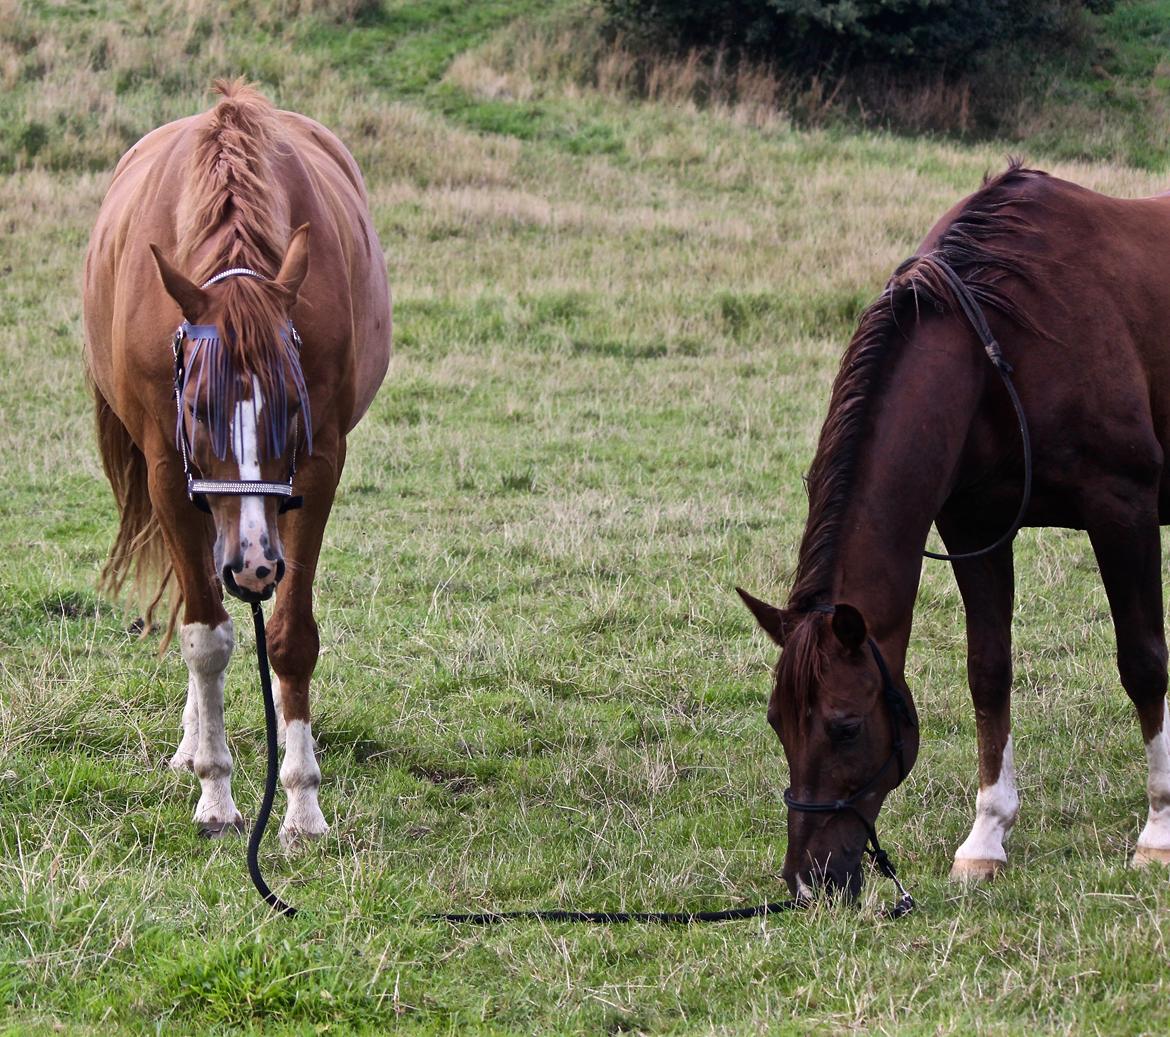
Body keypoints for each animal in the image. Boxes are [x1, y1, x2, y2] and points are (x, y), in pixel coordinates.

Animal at [84, 79, 393, 842]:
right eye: (197, 408)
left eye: (290, 405)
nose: (253, 564)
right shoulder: (170, 468)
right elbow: (205, 637)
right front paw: (216, 792)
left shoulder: (318, 465)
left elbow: (289, 637)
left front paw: (303, 802)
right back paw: (195, 744)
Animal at [739, 162, 1170, 903]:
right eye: (776, 722)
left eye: (845, 726)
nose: (807, 881)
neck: (1000, 342)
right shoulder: (976, 526)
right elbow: (988, 672)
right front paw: (986, 839)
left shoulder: (1125, 507)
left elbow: (1143, 663)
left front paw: (1158, 833)